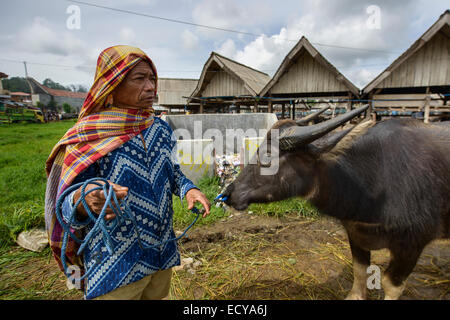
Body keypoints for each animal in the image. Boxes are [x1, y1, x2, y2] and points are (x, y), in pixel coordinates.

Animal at [222, 105, 450, 300]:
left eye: (268, 158)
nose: (229, 192)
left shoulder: (412, 245)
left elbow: (390, 284)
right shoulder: (355, 233)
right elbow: (359, 270)